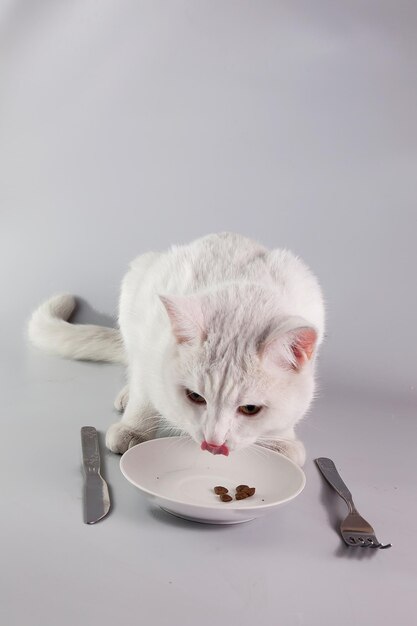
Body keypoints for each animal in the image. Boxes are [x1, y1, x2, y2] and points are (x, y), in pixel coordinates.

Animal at [28, 233, 324, 464]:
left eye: (250, 409)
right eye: (195, 397)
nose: (214, 442)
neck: (242, 300)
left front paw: (280, 441)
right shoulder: (149, 339)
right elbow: (144, 393)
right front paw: (134, 428)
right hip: (136, 280)